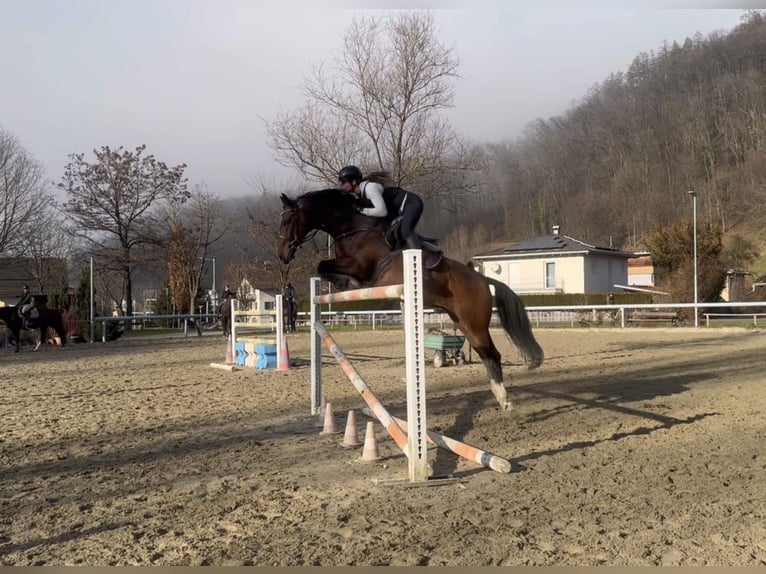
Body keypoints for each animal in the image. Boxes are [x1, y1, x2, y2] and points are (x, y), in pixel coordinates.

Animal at [276, 188, 544, 411]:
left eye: (289, 220)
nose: (282, 255)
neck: (352, 228)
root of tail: (481, 278)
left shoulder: (361, 267)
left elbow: (327, 267)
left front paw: (350, 285)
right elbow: (322, 266)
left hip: (474, 323)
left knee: (492, 354)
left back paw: (505, 400)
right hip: (463, 323)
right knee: (486, 354)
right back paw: (500, 397)